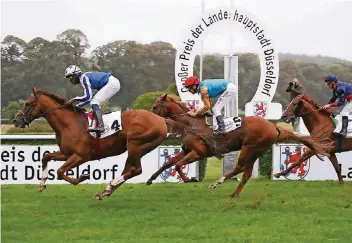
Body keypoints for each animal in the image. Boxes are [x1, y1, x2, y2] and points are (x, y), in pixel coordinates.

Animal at [13, 87, 217, 199]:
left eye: (28, 103)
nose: (16, 120)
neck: (69, 123)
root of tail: (161, 119)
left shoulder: (80, 156)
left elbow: (61, 172)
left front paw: (82, 177)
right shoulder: (66, 153)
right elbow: (46, 157)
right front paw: (42, 184)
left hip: (135, 144)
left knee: (136, 170)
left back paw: (109, 187)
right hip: (136, 148)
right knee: (130, 170)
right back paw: (106, 191)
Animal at [148, 94, 332, 197]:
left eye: (155, 106)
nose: (150, 118)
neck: (191, 124)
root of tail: (274, 127)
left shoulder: (198, 153)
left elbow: (178, 165)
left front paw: (189, 179)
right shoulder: (186, 150)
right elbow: (168, 163)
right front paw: (150, 179)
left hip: (249, 147)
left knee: (240, 168)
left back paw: (218, 182)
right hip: (256, 151)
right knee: (246, 173)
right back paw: (234, 193)